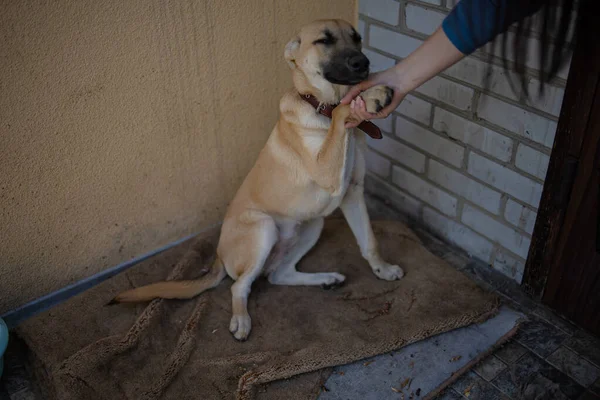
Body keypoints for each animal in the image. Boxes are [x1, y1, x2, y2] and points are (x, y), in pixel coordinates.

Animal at [111, 19, 404, 340]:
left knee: (278, 275)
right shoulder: (328, 171)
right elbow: (341, 110)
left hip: (312, 225)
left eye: (357, 38)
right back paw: (241, 320)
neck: (320, 107)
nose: (363, 64)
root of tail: (218, 254)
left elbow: (369, 241)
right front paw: (370, 96)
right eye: (324, 40)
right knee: (240, 285)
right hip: (263, 228)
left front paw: (383, 269)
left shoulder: (352, 192)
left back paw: (325, 278)